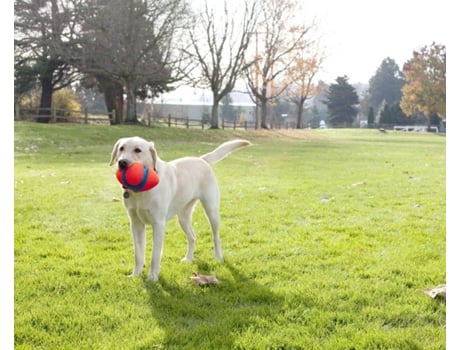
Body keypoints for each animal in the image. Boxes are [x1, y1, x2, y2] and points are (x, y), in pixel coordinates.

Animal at [109, 137, 250, 282]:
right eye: (121, 148)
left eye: (137, 150)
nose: (122, 162)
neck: (141, 191)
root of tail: (202, 159)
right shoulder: (136, 224)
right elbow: (138, 254)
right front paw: (136, 275)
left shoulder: (158, 224)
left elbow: (155, 255)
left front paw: (152, 277)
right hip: (183, 218)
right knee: (192, 237)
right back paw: (189, 258)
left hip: (212, 211)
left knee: (216, 237)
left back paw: (218, 257)